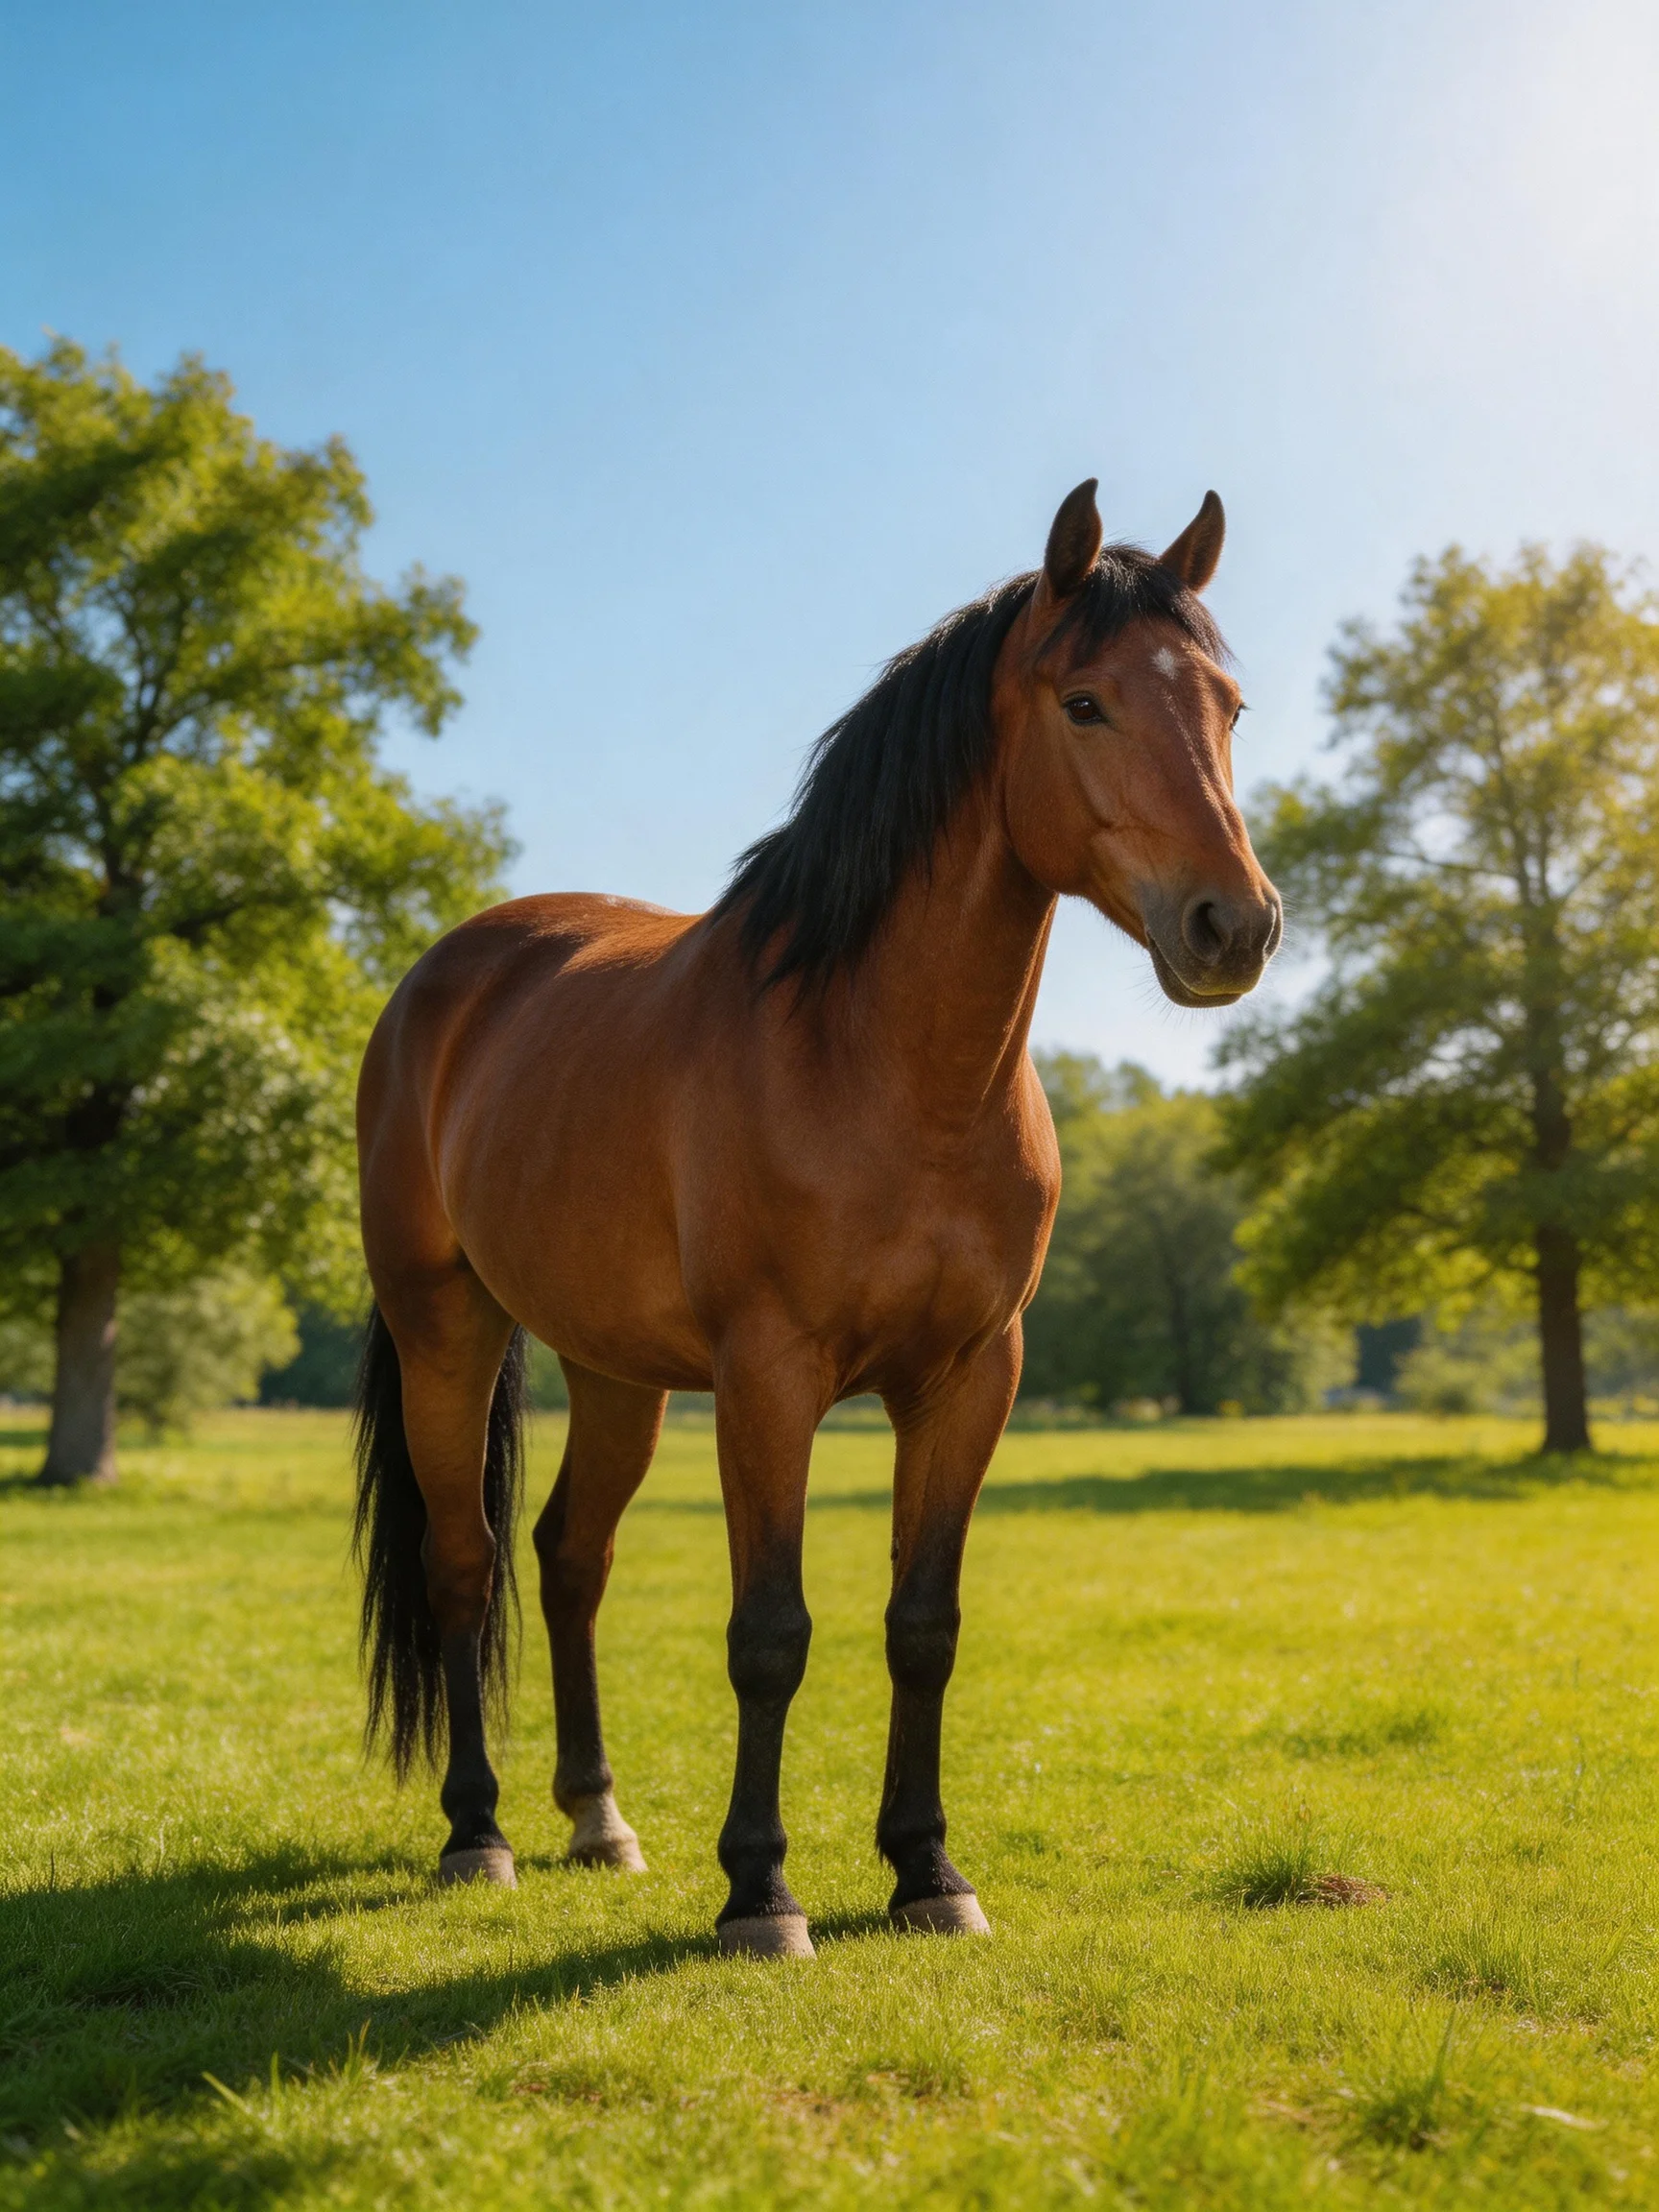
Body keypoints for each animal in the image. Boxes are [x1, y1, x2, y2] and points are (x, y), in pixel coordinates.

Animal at [353, 479, 1280, 1957]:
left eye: (1230, 707)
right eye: (1084, 702)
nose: (1232, 928)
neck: (883, 1065)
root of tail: (442, 983)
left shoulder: (970, 1377)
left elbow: (922, 1623)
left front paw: (927, 1871)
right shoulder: (769, 1377)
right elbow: (770, 1633)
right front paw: (761, 1891)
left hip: (613, 1372)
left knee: (568, 1557)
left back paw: (598, 1820)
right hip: (449, 1328)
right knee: (463, 1560)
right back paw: (477, 1833)